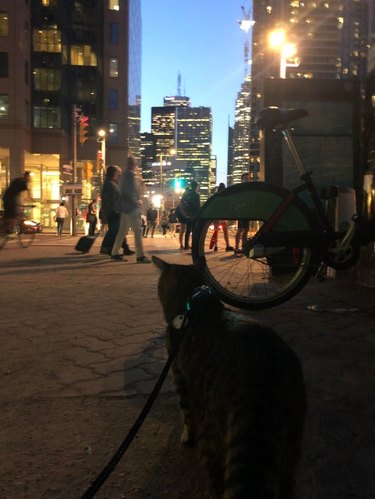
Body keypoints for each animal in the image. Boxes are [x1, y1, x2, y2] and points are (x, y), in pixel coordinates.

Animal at [153, 258, 308, 499]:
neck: (194, 299)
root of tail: (262, 367)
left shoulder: (178, 370)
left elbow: (185, 410)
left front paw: (187, 434)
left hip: (212, 427)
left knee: (216, 475)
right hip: (293, 432)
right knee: (286, 480)